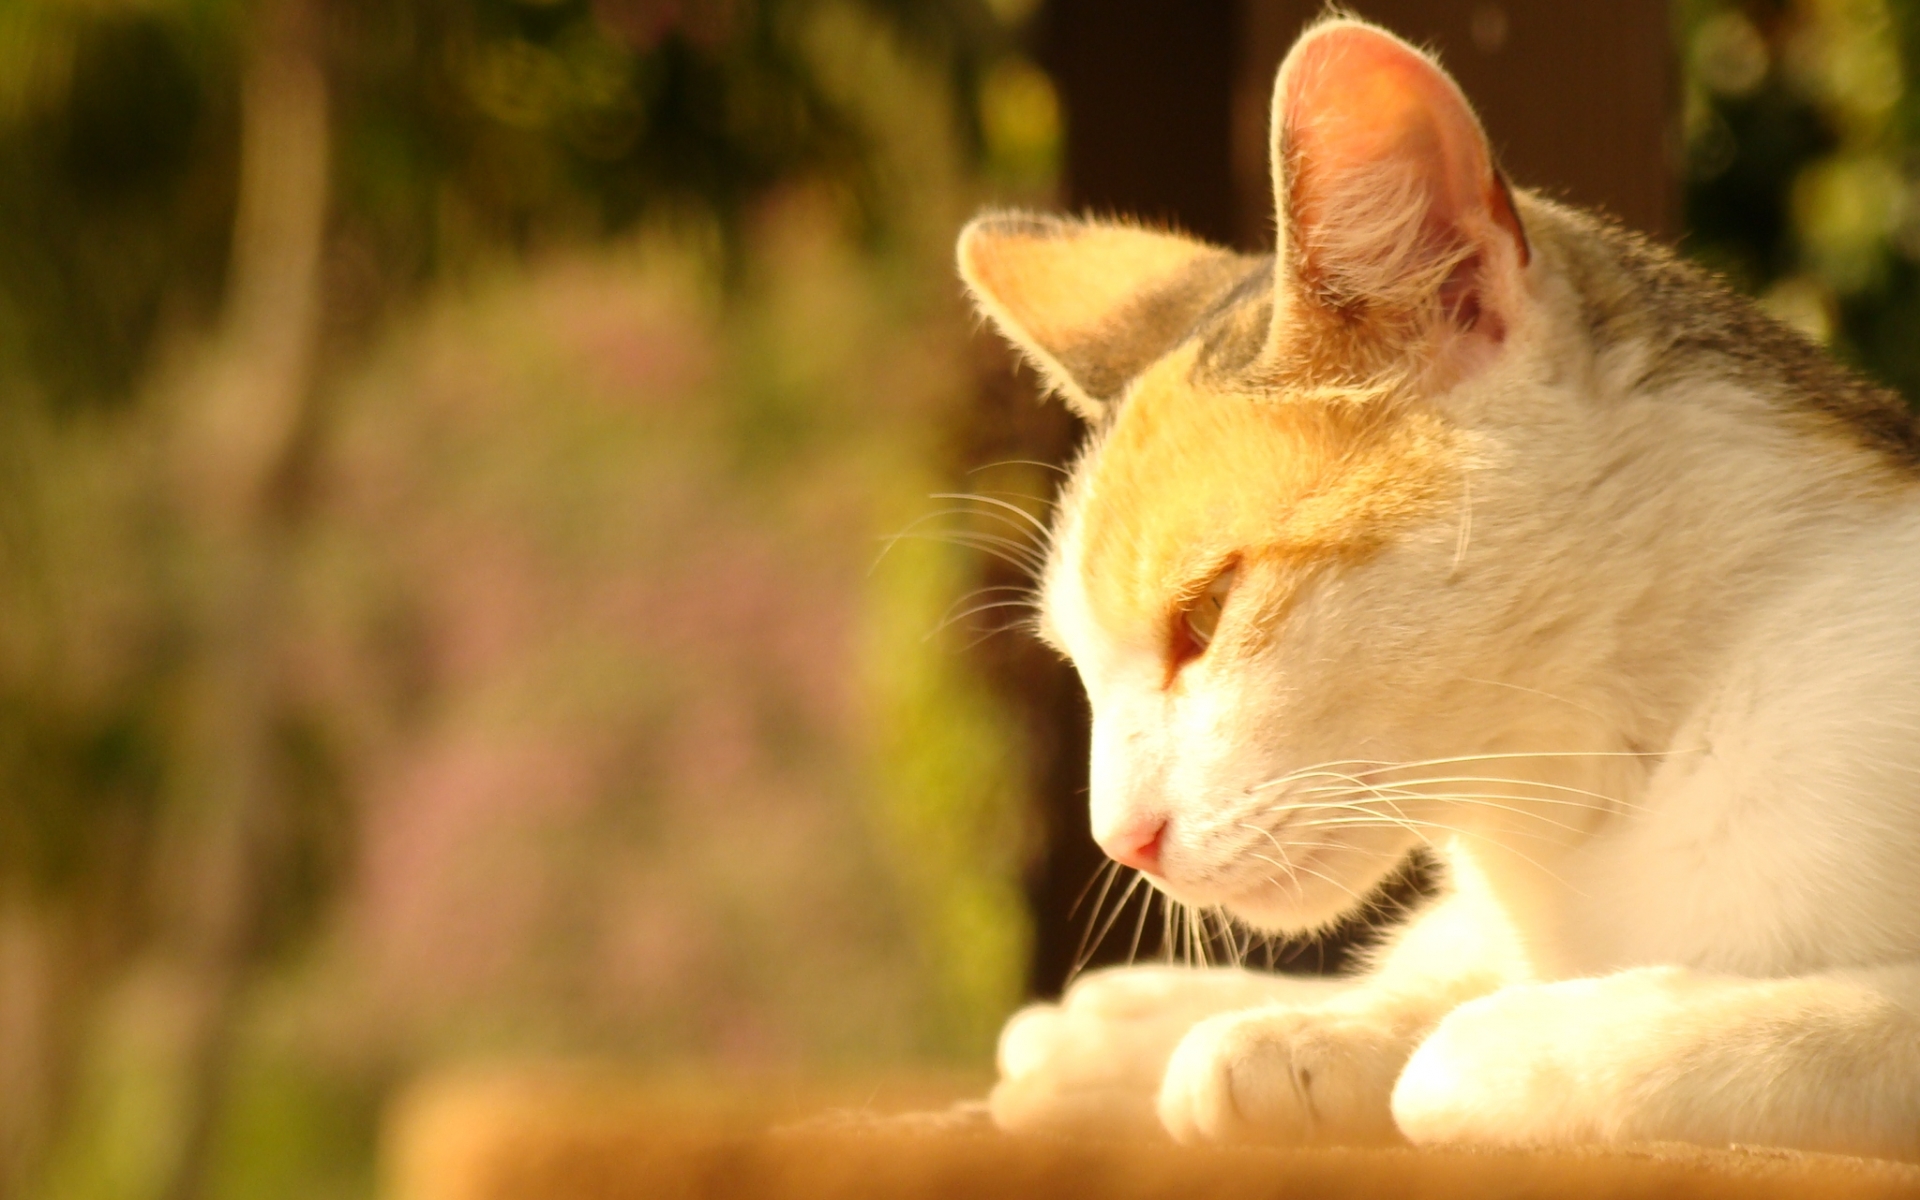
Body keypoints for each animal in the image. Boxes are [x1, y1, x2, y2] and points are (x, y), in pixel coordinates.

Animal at [960, 14, 1920, 1159]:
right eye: (1079, 663)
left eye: (1207, 613)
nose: (1123, 841)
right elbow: (1429, 971)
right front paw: (1289, 1037)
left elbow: (1792, 1031)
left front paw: (1510, 1037)